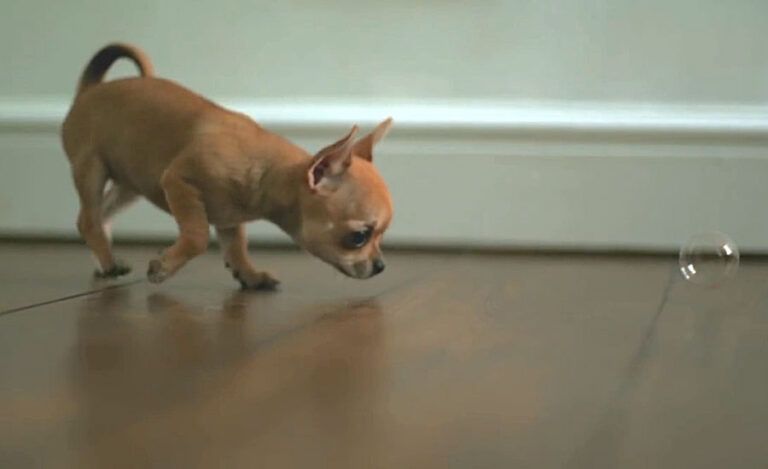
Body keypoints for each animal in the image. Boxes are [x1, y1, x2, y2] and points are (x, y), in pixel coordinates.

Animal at [60, 43, 392, 288]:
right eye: (359, 237)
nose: (380, 266)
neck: (269, 172)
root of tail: (90, 89)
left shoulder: (229, 218)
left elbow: (236, 246)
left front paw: (249, 275)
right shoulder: (178, 182)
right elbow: (197, 237)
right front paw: (164, 266)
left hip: (131, 186)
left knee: (98, 216)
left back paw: (104, 260)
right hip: (92, 169)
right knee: (88, 219)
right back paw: (108, 261)